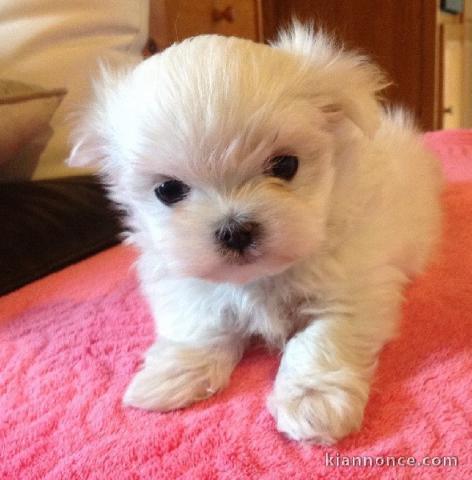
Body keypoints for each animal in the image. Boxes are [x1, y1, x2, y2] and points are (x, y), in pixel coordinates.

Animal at [67, 26, 442, 444]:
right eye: (168, 190)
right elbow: (198, 326)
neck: (260, 278)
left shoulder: (354, 291)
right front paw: (174, 375)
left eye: (285, 165)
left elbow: (321, 340)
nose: (235, 231)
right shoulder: (186, 285)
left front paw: (313, 403)